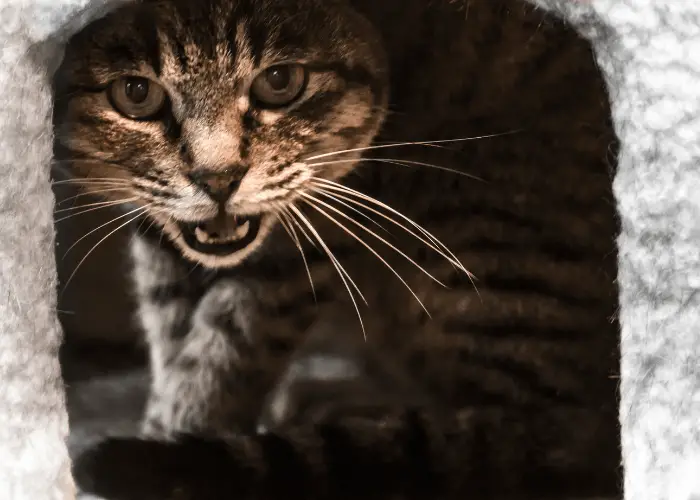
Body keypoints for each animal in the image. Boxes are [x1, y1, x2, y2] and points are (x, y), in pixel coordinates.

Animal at [56, 0, 624, 498]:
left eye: (280, 82)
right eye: (135, 93)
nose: (218, 180)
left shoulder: (308, 231)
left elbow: (226, 350)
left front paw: (183, 433)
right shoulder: (163, 235)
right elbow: (171, 331)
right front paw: (166, 422)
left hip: (483, 243)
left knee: (523, 430)